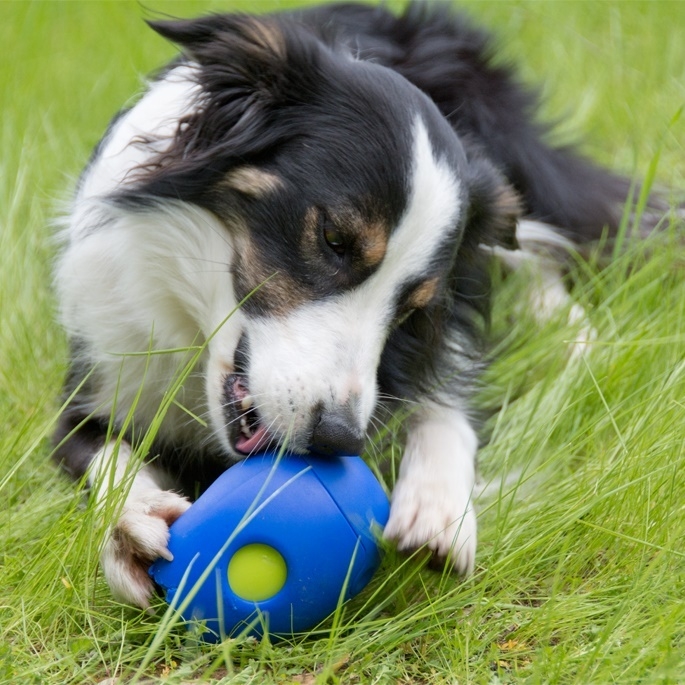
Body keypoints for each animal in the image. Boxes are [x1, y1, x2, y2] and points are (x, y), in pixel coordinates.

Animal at [52, 2, 640, 608]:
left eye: (411, 306)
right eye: (335, 239)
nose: (338, 438)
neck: (189, 314)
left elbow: (448, 405)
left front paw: (439, 508)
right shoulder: (94, 381)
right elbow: (105, 456)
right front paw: (134, 524)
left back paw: (570, 336)